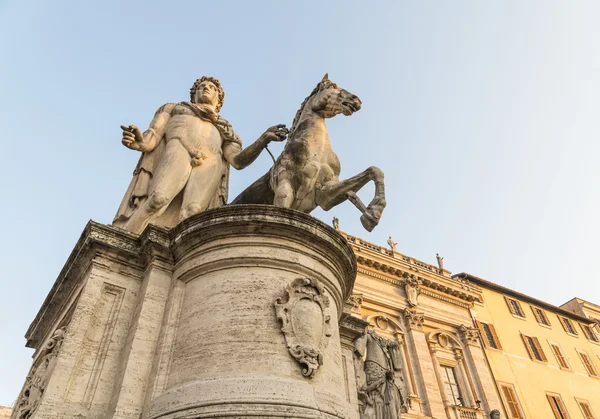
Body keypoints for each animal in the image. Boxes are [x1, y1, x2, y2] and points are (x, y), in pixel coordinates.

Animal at [232, 74, 386, 231]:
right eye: (331, 86)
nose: (355, 100)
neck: (318, 150)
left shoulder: (324, 194)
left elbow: (374, 170)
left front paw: (373, 213)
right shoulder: (284, 186)